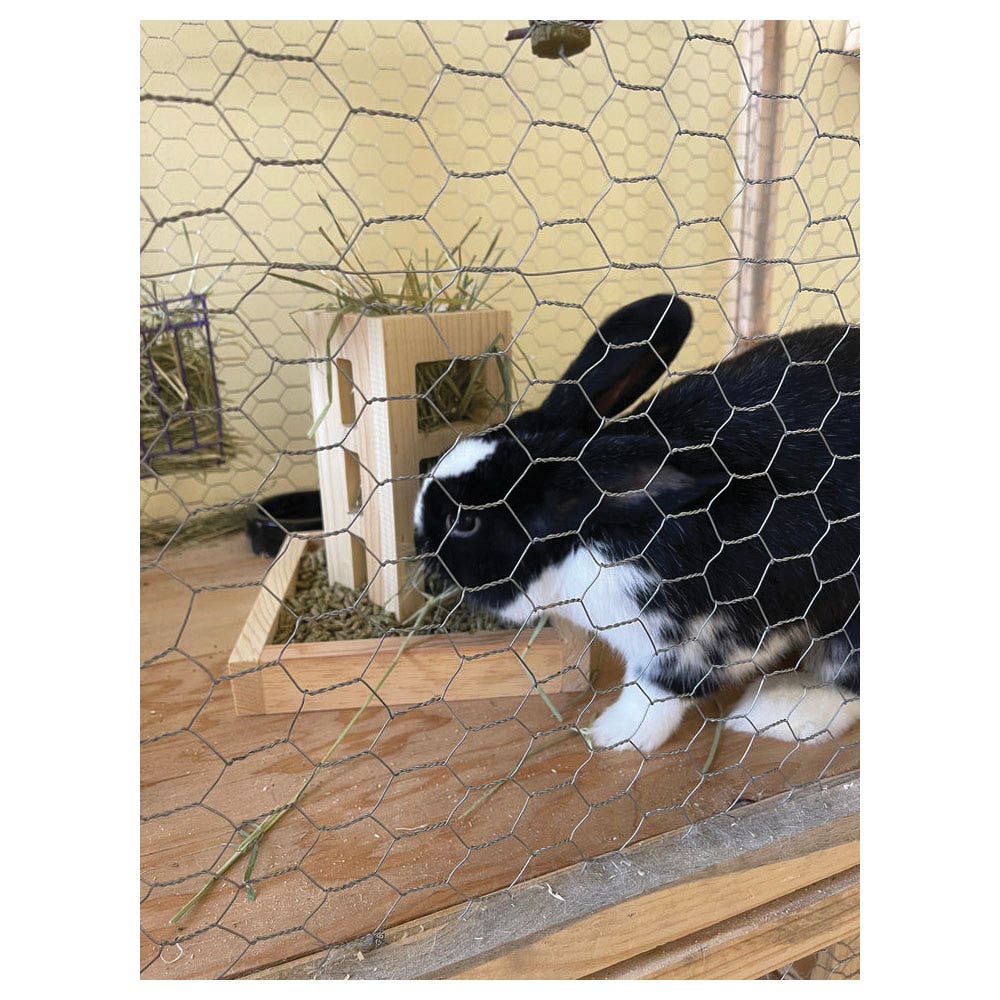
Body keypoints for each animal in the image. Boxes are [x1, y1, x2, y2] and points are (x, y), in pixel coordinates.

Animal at [413, 294, 859, 753]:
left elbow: (657, 692)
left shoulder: (705, 636)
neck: (585, 539)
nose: (419, 544)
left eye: (464, 521)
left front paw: (612, 735)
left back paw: (777, 711)